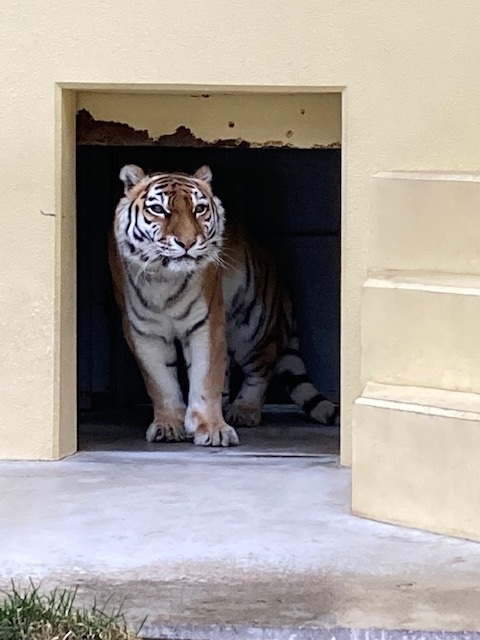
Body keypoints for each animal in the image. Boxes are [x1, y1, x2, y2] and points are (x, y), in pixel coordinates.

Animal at [109, 162, 338, 448]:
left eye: (199, 209)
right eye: (159, 210)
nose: (187, 243)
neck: (164, 279)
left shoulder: (206, 323)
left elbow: (206, 379)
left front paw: (213, 429)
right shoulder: (143, 332)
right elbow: (160, 383)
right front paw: (168, 425)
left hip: (252, 328)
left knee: (262, 368)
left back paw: (244, 411)